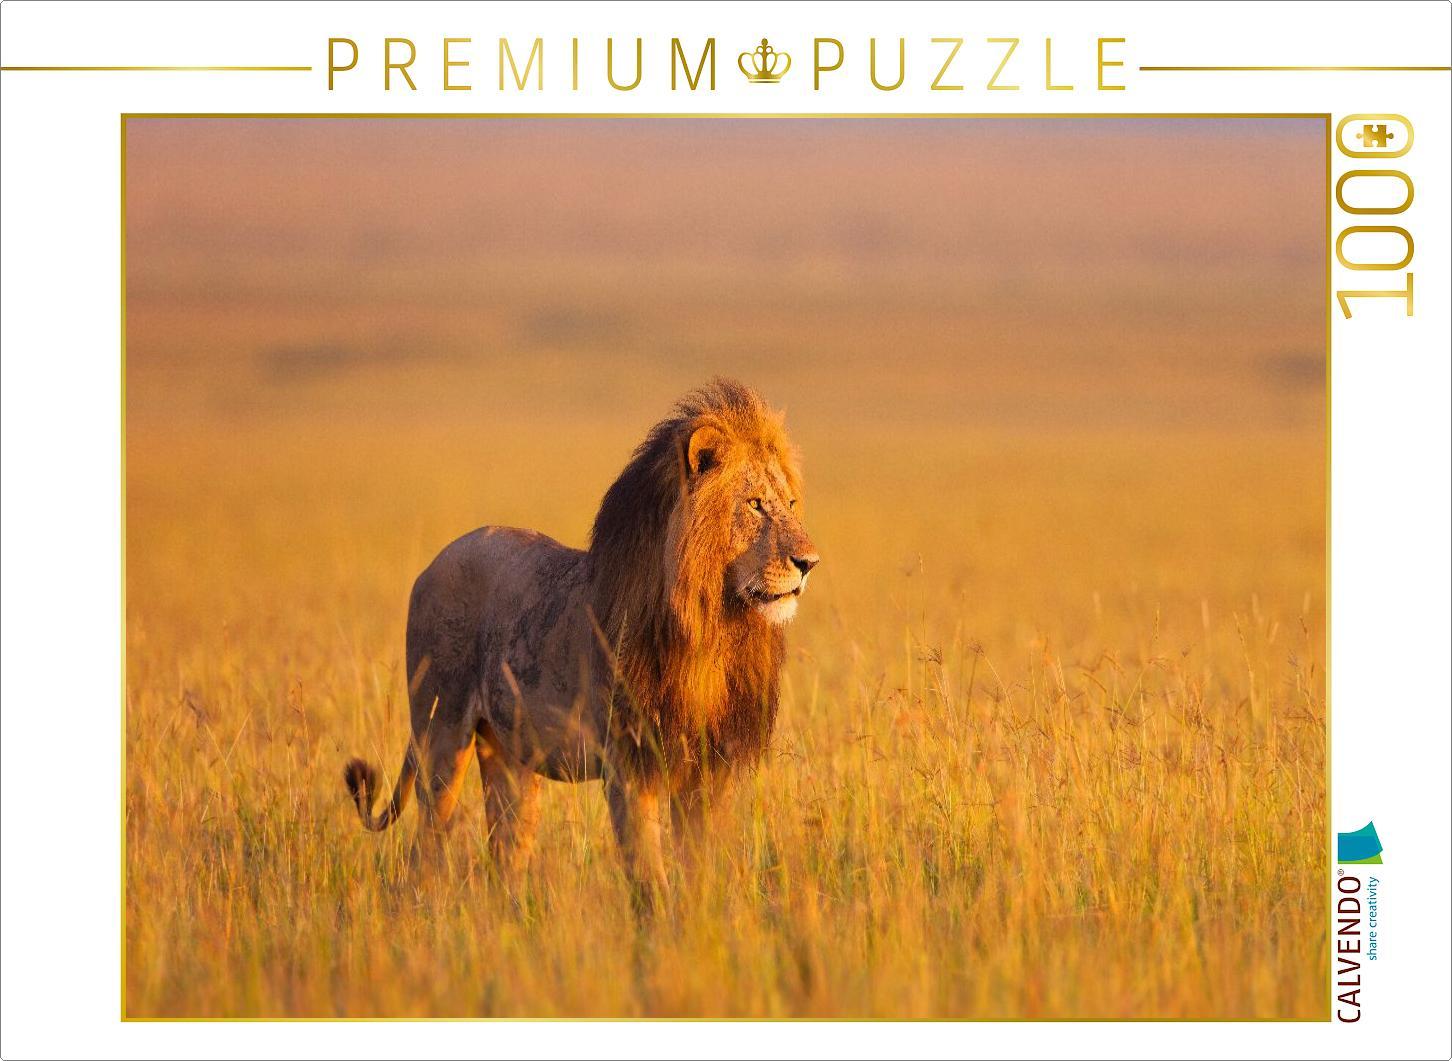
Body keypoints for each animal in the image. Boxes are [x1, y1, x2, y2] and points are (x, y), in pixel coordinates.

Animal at [344, 378, 819, 899]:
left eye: (791, 504)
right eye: (754, 504)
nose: (809, 562)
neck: (712, 629)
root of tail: (432, 564)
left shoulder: (709, 766)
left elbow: (702, 863)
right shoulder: (629, 763)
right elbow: (648, 873)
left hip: (511, 760)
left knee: (505, 856)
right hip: (442, 734)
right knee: (425, 848)